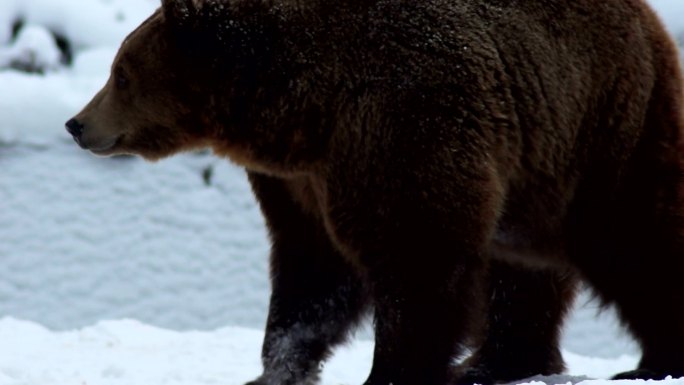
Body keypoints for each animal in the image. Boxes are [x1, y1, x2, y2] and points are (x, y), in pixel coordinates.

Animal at [65, 0, 684, 382]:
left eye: (121, 73)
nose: (77, 123)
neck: (301, 111)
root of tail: (646, 18)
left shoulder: (404, 121)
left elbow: (416, 254)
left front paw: (390, 371)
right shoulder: (301, 182)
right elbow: (313, 273)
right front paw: (275, 368)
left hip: (609, 126)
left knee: (637, 240)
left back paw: (649, 361)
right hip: (540, 171)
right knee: (525, 270)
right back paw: (497, 364)